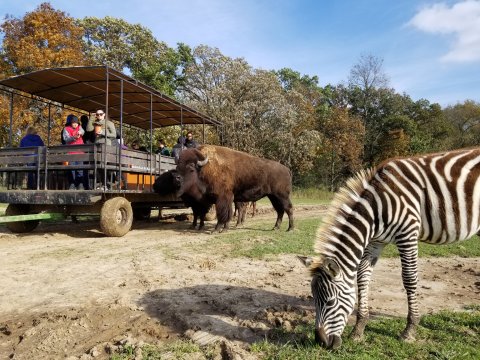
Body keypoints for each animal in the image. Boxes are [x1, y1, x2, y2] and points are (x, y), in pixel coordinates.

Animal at [298, 147, 480, 348]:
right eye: (313, 299)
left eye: (330, 302)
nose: (321, 342)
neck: (377, 208)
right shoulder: (375, 242)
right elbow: (362, 278)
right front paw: (358, 329)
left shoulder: (407, 234)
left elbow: (409, 279)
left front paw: (409, 330)